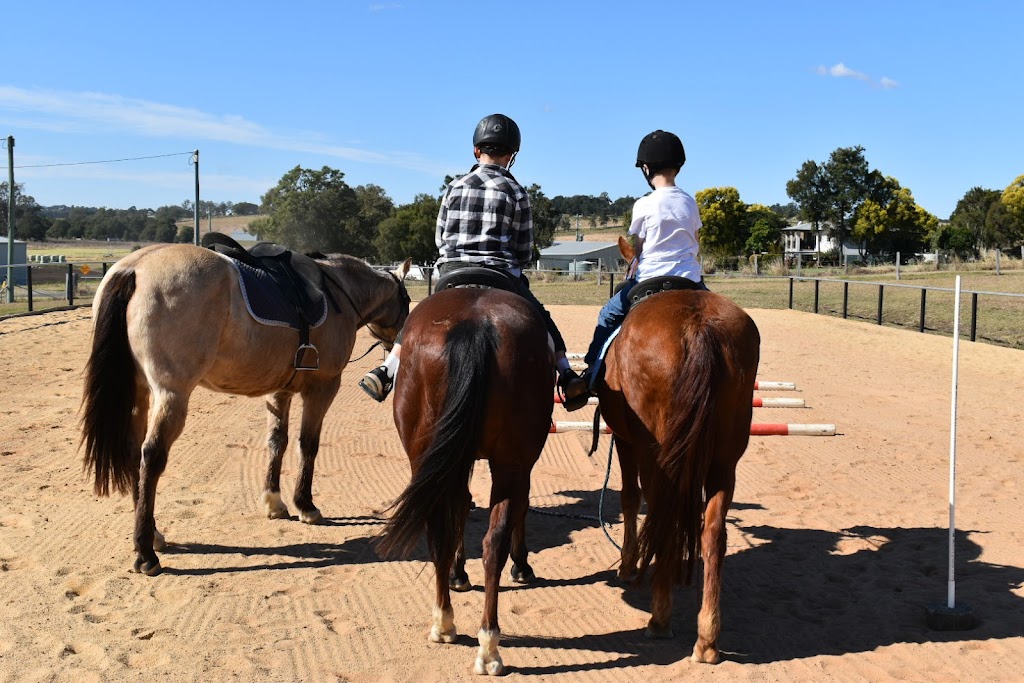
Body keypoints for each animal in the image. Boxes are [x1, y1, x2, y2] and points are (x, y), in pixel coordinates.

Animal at [79, 242, 409, 573]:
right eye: (407, 302)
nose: (399, 346)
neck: (337, 291)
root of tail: (135, 267)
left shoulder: (279, 392)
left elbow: (277, 442)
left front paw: (275, 502)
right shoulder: (323, 388)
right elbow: (308, 445)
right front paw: (306, 505)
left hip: (139, 393)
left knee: (134, 454)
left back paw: (153, 535)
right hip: (172, 394)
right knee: (151, 457)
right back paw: (146, 552)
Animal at [374, 280, 552, 675]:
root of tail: (475, 324)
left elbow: (461, 509)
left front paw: (459, 574)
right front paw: (520, 566)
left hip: (436, 458)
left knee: (450, 532)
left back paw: (453, 626)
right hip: (509, 464)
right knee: (488, 538)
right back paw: (482, 640)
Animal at [598, 237, 757, 663]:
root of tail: (698, 327)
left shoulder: (625, 440)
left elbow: (628, 497)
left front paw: (627, 565)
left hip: (658, 456)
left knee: (662, 516)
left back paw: (660, 618)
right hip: (725, 460)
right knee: (713, 532)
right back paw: (707, 638)